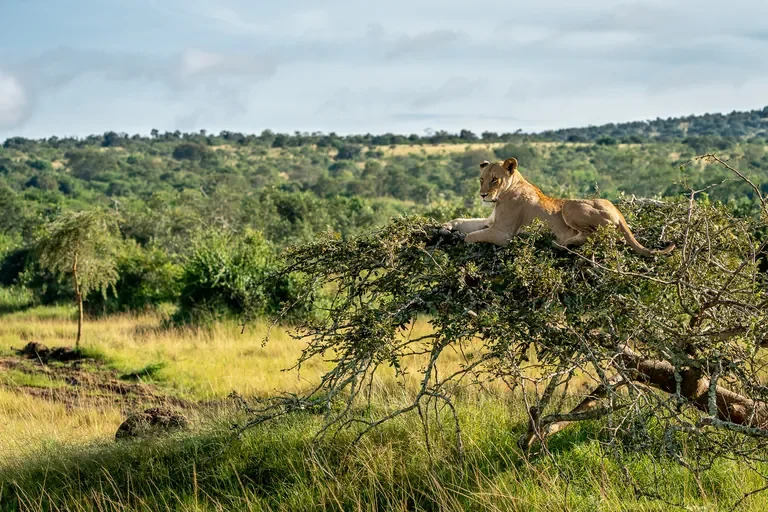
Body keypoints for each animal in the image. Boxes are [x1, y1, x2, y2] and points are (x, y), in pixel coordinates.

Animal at [440, 157, 675, 257]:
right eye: (481, 179)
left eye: (494, 180)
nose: (483, 195)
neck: (503, 195)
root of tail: (619, 213)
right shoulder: (491, 221)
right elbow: (463, 221)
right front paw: (445, 227)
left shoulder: (503, 233)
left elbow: (472, 236)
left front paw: (459, 238)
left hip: (569, 207)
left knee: (593, 236)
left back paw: (562, 243)